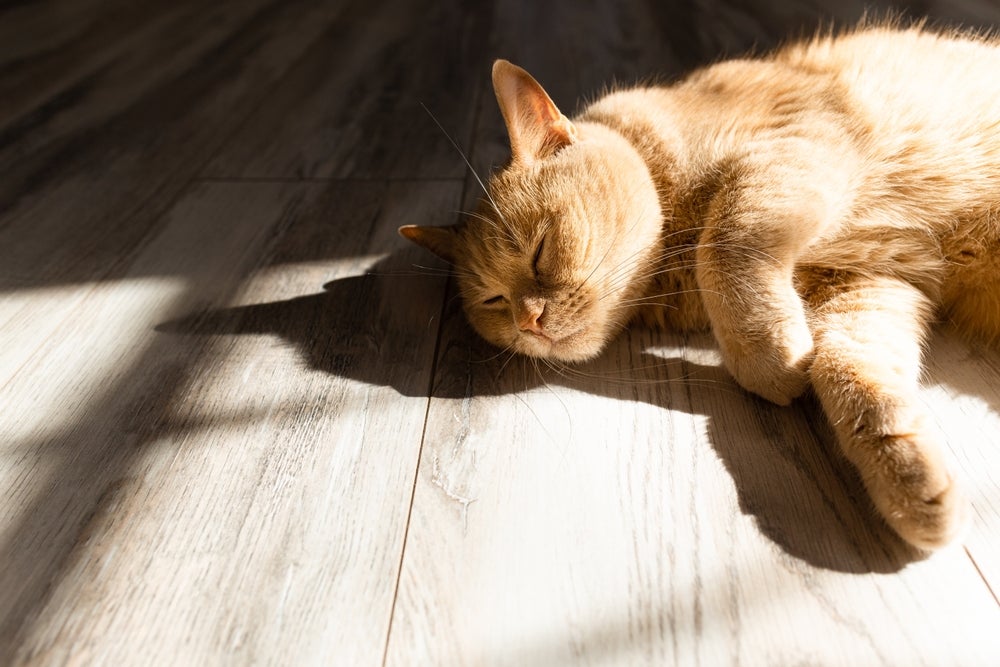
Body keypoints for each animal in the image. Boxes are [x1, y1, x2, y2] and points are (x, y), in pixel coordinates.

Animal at [398, 23, 1000, 552]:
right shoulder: (869, 282)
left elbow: (725, 244)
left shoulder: (793, 145)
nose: (527, 319)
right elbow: (850, 372)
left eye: (541, 251)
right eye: (493, 301)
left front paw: (768, 359)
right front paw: (908, 479)